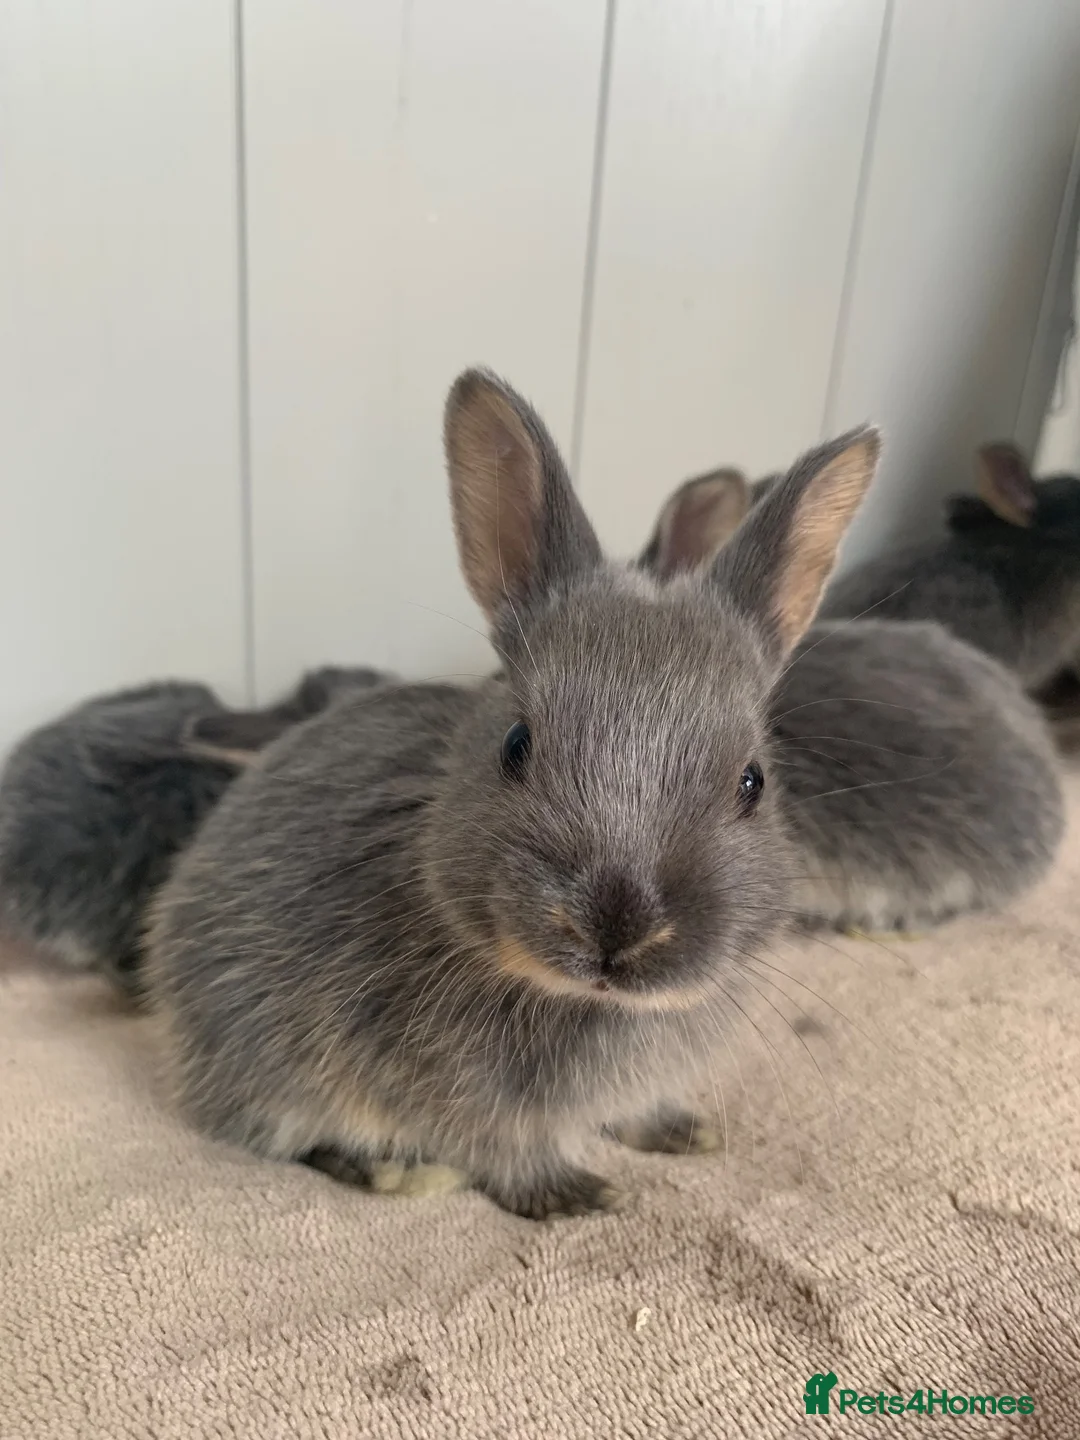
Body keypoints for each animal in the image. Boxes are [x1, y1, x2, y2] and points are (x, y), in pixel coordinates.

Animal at [142, 369, 881, 1220]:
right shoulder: (445, 1089)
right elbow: (502, 1150)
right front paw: (575, 1195)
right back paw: (397, 1172)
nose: (616, 927)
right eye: (516, 745)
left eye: (752, 782)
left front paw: (681, 1130)